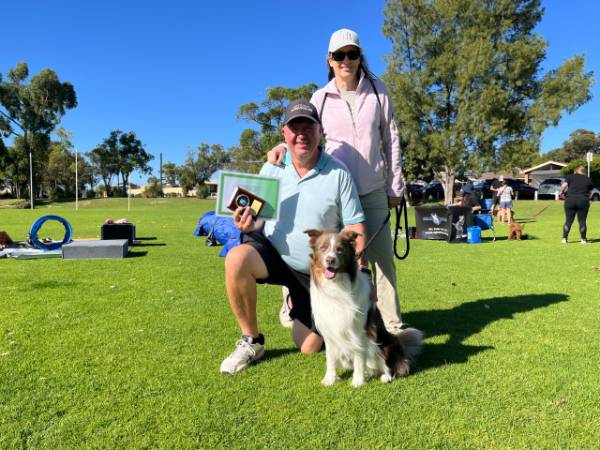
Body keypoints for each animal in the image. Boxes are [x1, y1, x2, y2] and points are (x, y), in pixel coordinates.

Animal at [305, 229, 423, 387]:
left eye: (340, 249)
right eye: (322, 248)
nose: (330, 260)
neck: (337, 286)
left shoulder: (359, 330)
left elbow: (359, 356)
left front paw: (358, 381)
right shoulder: (329, 332)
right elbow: (330, 358)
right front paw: (330, 379)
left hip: (382, 345)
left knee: (390, 366)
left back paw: (385, 376)